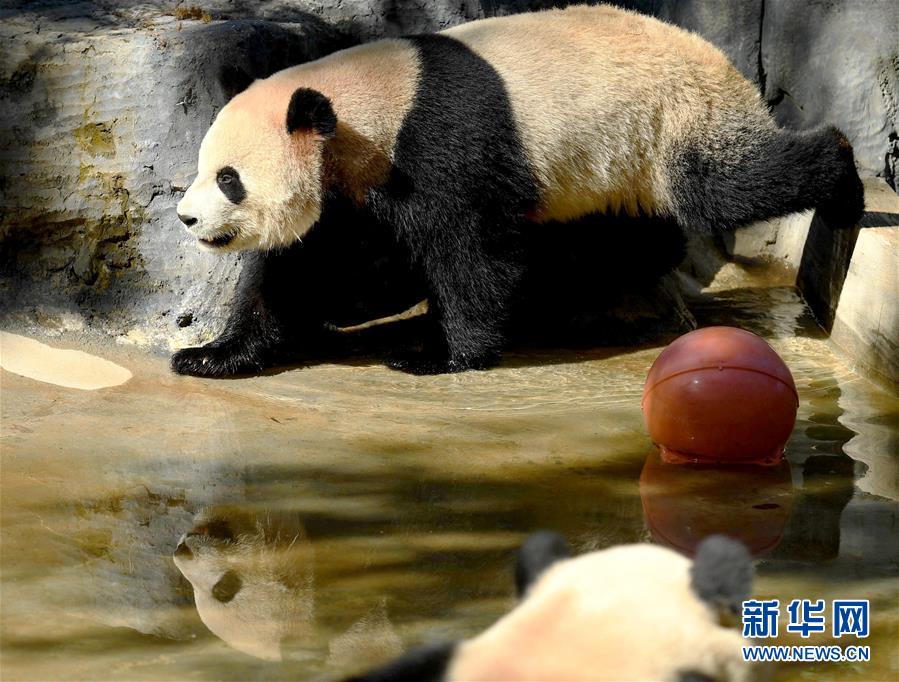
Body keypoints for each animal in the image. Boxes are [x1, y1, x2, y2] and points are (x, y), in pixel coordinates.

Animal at [172, 2, 868, 374]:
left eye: (229, 180)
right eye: (204, 168)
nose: (186, 219)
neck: (364, 107)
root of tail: (719, 56)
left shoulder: (439, 141)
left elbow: (470, 251)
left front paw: (440, 354)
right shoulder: (353, 184)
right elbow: (312, 263)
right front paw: (209, 355)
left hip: (675, 115)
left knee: (729, 183)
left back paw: (842, 179)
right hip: (615, 165)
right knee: (622, 232)